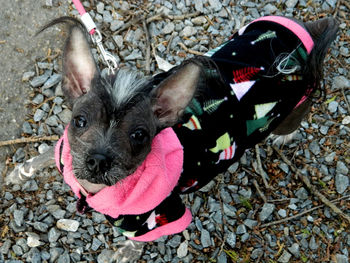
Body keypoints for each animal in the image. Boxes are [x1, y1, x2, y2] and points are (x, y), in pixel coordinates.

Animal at [6, 14, 338, 243]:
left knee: (294, 120)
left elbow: (131, 247)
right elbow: (44, 156)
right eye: (80, 121)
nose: (99, 160)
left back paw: (287, 136)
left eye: (139, 136)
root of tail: (307, 32)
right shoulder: (65, 152)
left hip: (298, 103)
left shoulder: (157, 217)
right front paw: (19, 173)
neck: (91, 190)